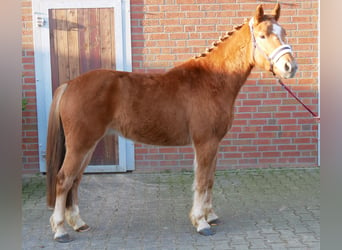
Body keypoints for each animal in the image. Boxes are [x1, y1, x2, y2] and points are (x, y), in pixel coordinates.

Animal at [45, 3, 296, 242]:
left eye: (284, 32)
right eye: (262, 36)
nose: (290, 67)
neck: (213, 80)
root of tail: (70, 84)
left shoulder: (215, 143)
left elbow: (210, 180)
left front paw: (210, 215)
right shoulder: (205, 143)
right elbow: (202, 181)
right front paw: (201, 222)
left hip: (87, 146)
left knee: (75, 180)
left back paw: (78, 223)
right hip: (80, 145)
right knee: (64, 179)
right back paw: (60, 230)